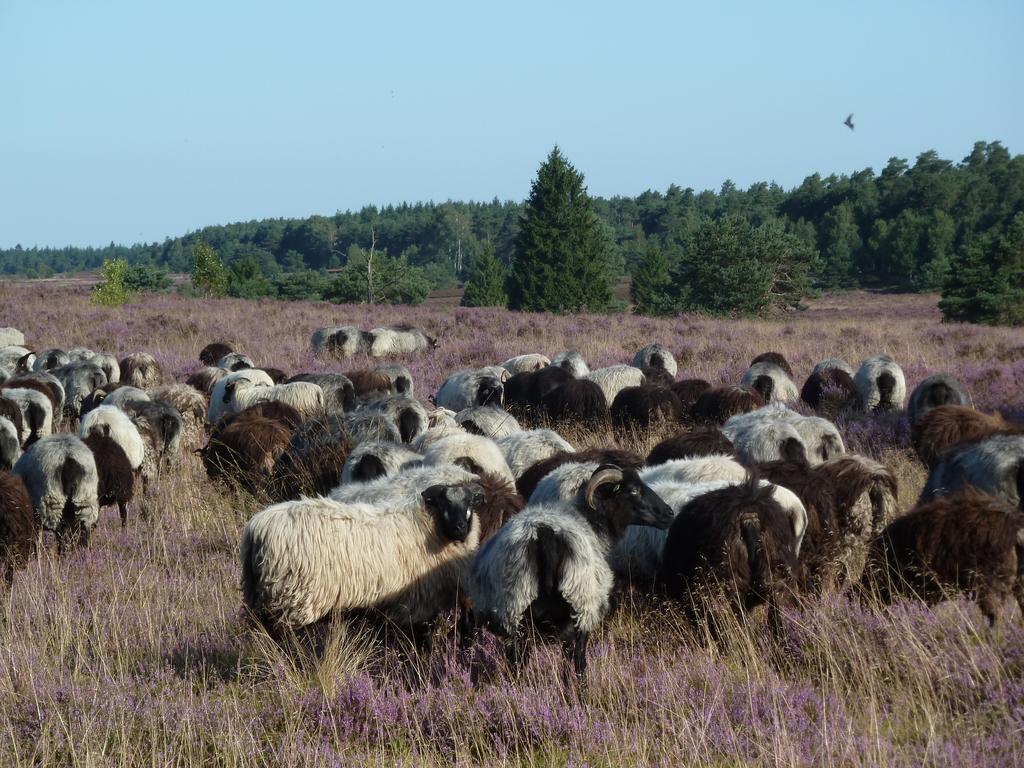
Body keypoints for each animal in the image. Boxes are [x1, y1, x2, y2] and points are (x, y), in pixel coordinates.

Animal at [245, 481, 489, 638]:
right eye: (443, 504)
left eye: (470, 503)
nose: (460, 528)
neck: (431, 528)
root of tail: (255, 529)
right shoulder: (415, 605)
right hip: (293, 599)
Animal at [468, 468, 675, 679]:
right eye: (633, 490)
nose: (669, 513)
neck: (592, 522)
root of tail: (543, 533)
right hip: (581, 605)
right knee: (578, 661)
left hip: (514, 609)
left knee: (516, 663)